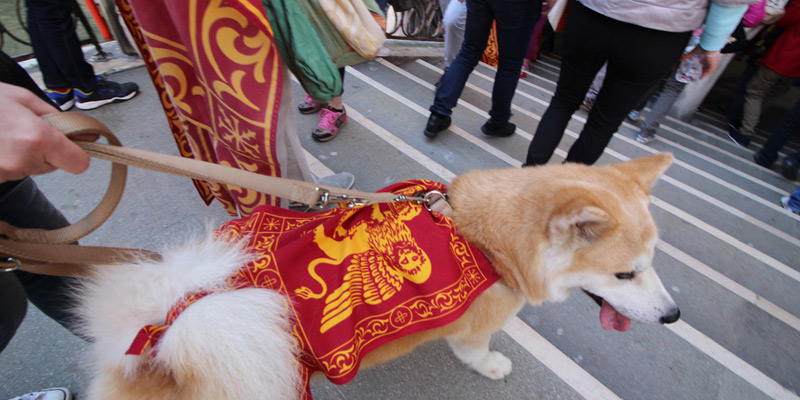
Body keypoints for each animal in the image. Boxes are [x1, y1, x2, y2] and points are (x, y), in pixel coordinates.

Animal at [75, 152, 680, 396]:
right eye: (625, 275)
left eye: (653, 264)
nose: (674, 316)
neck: (483, 240)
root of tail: (166, 333)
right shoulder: (475, 329)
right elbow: (477, 352)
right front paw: (492, 367)